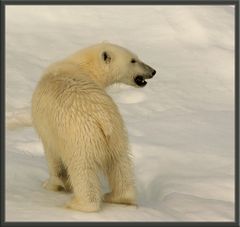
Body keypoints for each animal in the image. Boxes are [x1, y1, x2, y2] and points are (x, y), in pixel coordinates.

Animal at [31, 42, 156, 211]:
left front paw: (51, 185)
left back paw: (77, 204)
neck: (82, 67)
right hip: (116, 132)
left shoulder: (49, 129)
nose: (153, 71)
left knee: (82, 168)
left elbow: (53, 157)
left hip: (81, 136)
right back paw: (118, 197)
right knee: (120, 163)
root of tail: (102, 117)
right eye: (133, 60)